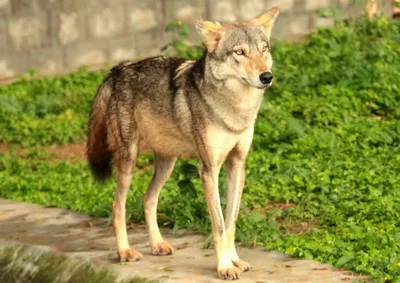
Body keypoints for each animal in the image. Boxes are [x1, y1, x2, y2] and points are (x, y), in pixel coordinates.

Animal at [87, 6, 280, 280]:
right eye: (239, 52)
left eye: (263, 49)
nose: (266, 77)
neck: (235, 109)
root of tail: (119, 68)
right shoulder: (209, 169)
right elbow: (219, 225)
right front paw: (224, 267)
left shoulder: (237, 165)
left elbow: (231, 221)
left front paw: (235, 260)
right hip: (129, 160)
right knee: (117, 205)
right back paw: (124, 251)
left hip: (167, 163)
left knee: (148, 199)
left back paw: (157, 244)